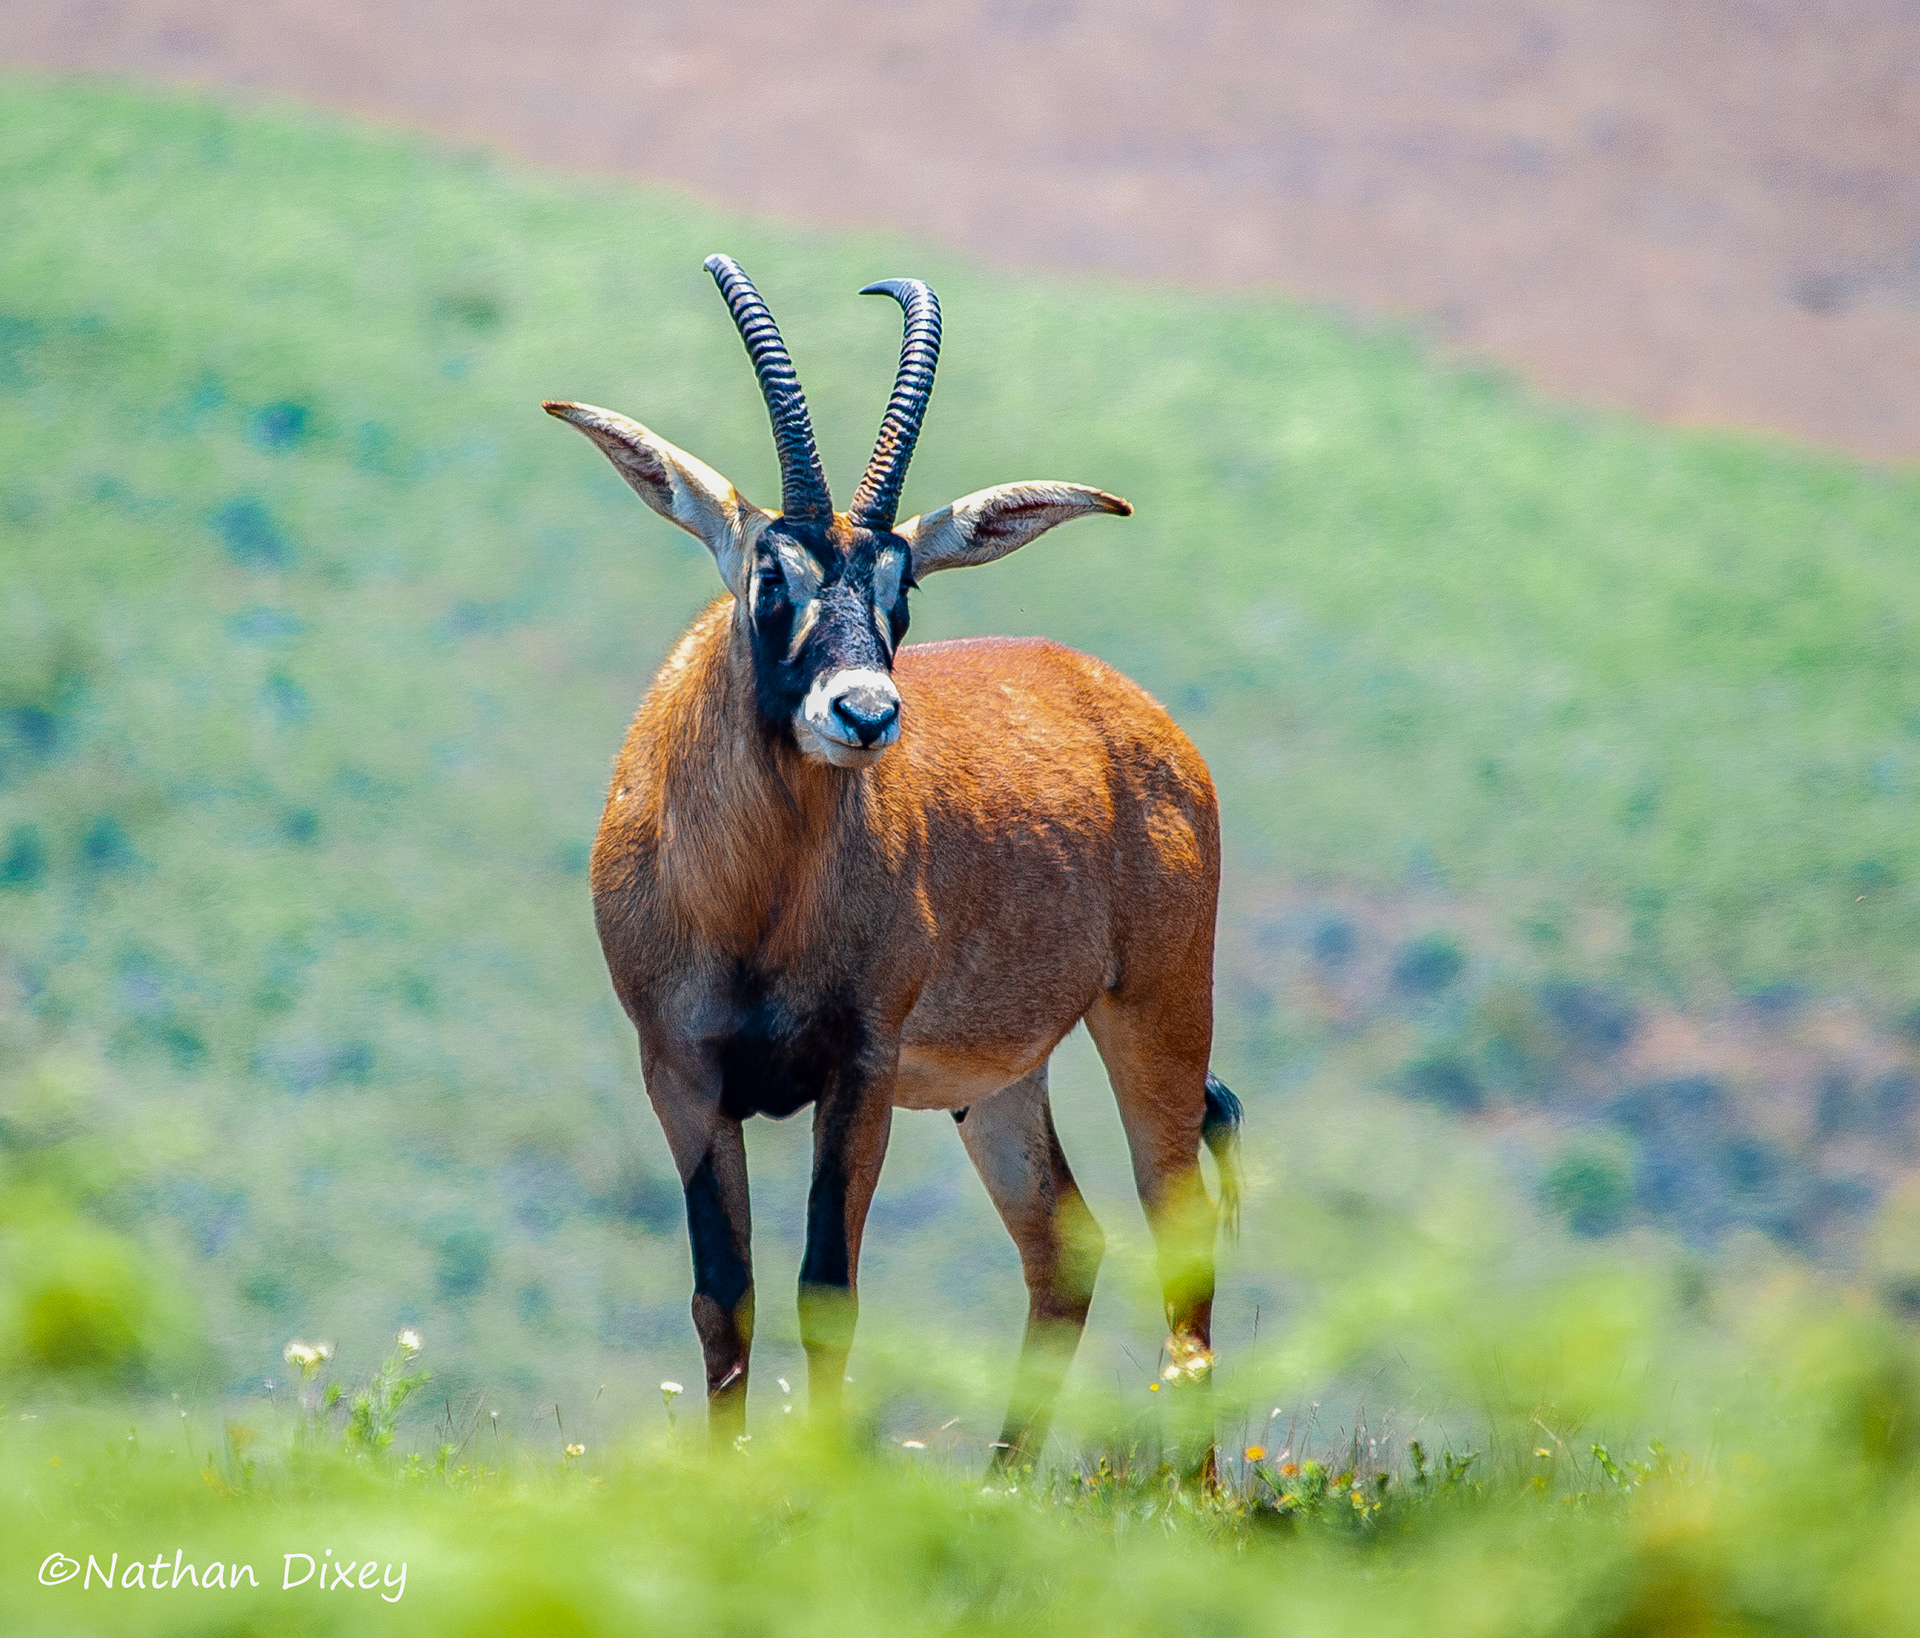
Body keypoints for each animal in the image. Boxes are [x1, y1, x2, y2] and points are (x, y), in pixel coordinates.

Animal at [545, 255, 1241, 1469]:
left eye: (899, 585)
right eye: (769, 573)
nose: (864, 715)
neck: (756, 904)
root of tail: (1129, 713)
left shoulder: (859, 1071)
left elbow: (828, 1289)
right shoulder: (679, 1071)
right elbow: (724, 1293)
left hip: (1154, 1010)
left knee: (1180, 1239)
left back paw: (1192, 1495)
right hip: (1000, 1085)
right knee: (1066, 1243)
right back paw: (1001, 1485)